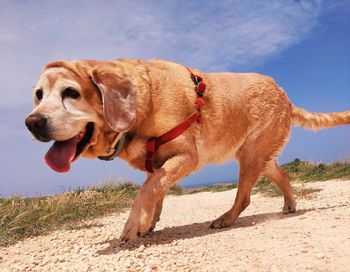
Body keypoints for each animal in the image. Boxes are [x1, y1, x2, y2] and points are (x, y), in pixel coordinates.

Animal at [25, 59, 350, 240]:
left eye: (71, 93)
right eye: (38, 94)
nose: (32, 123)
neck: (144, 102)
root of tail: (285, 96)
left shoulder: (186, 157)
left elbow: (147, 190)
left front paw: (133, 226)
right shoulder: (158, 164)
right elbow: (154, 191)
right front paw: (147, 224)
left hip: (251, 156)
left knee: (244, 198)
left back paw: (226, 219)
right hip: (258, 156)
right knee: (283, 177)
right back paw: (289, 205)